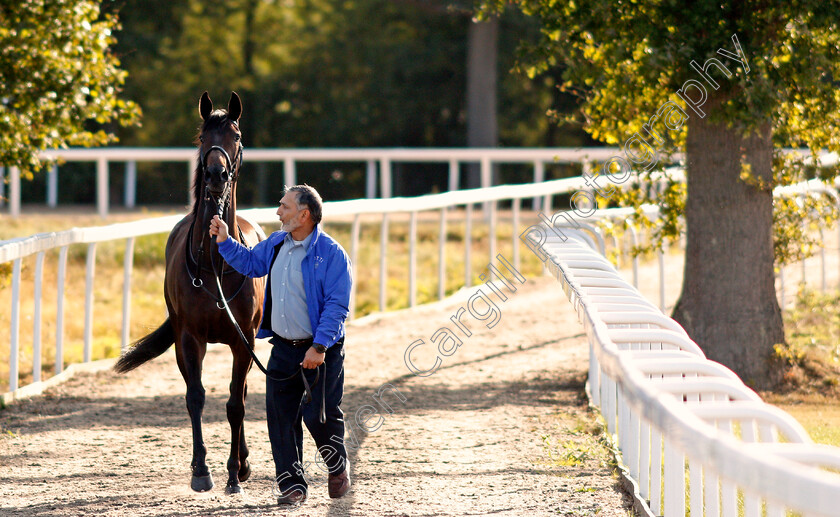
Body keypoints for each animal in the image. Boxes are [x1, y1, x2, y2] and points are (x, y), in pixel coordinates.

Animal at [115, 90, 264, 494]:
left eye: (236, 136)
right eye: (201, 138)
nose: (216, 174)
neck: (214, 266)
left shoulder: (243, 340)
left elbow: (235, 403)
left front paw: (234, 473)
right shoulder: (188, 338)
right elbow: (195, 397)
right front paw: (201, 470)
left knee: (242, 393)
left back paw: (243, 463)